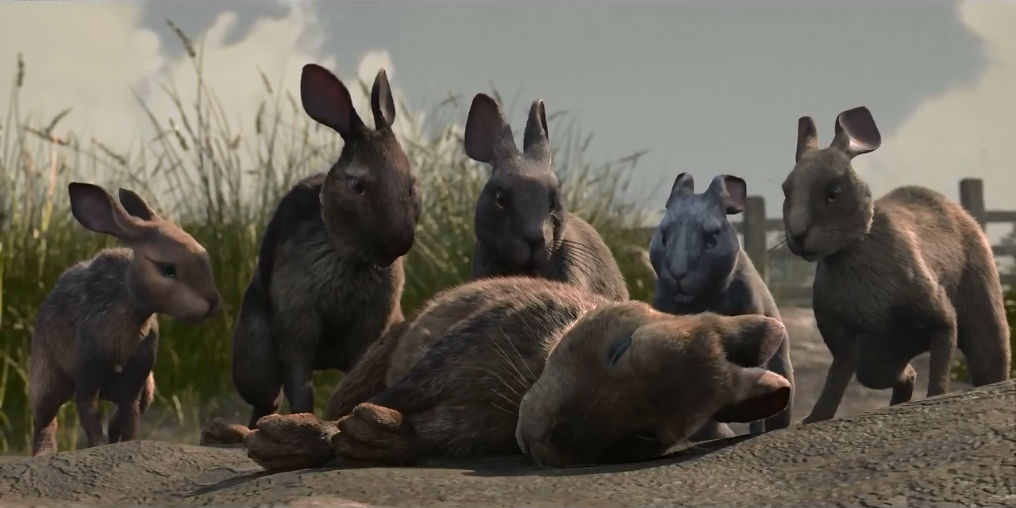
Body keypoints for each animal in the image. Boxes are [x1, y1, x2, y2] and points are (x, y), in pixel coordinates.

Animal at [29, 182, 220, 456]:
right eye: (168, 269)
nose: (214, 302)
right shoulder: (88, 371)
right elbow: (90, 416)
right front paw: (98, 446)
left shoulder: (137, 378)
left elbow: (127, 420)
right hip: (47, 379)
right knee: (44, 419)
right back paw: (43, 453)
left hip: (146, 390)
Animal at [228, 63, 420, 431]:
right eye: (357, 185)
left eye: (411, 186)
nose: (400, 241)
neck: (350, 257)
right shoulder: (296, 321)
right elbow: (299, 384)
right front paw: (303, 420)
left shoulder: (372, 324)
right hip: (254, 358)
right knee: (265, 396)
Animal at [242, 276, 791, 471]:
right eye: (621, 349)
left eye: (647, 436)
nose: (548, 443)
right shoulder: (447, 358)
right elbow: (396, 397)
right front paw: (283, 441)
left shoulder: (464, 427)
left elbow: (425, 432)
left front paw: (374, 436)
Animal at [783, 106, 1010, 423]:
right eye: (786, 191)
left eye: (834, 192)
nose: (798, 235)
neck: (853, 250)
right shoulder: (842, 341)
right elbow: (836, 379)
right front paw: (815, 418)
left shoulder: (940, 317)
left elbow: (942, 353)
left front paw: (936, 397)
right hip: (879, 357)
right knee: (900, 372)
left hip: (983, 304)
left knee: (990, 359)